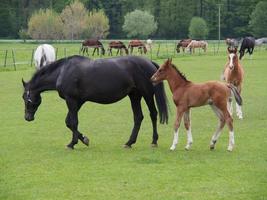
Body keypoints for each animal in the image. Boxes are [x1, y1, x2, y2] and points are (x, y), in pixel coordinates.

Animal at [22, 55, 170, 149]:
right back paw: (129, 142)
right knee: (138, 117)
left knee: (153, 114)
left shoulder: (71, 100)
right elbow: (69, 122)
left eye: (25, 97)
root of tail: (149, 62)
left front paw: (72, 143)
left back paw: (154, 141)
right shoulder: (78, 102)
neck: (63, 71)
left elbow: (73, 122)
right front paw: (84, 139)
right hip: (134, 96)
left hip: (147, 94)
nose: (27, 117)